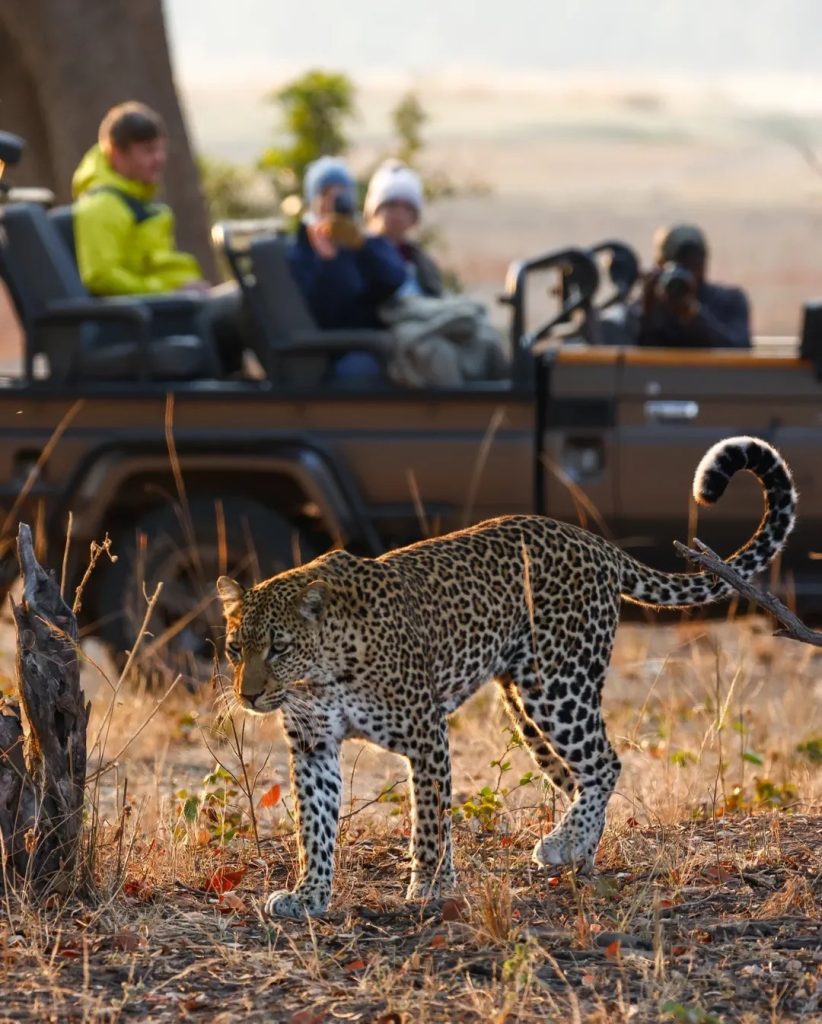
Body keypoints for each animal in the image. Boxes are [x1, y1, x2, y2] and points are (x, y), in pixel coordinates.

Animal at [217, 435, 796, 920]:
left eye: (279, 647)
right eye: (234, 649)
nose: (249, 695)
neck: (319, 678)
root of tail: (594, 542)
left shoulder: (426, 734)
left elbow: (430, 819)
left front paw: (428, 887)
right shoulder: (313, 747)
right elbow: (313, 827)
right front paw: (309, 895)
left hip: (559, 686)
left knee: (606, 763)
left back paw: (561, 846)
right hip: (527, 706)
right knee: (578, 778)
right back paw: (577, 855)